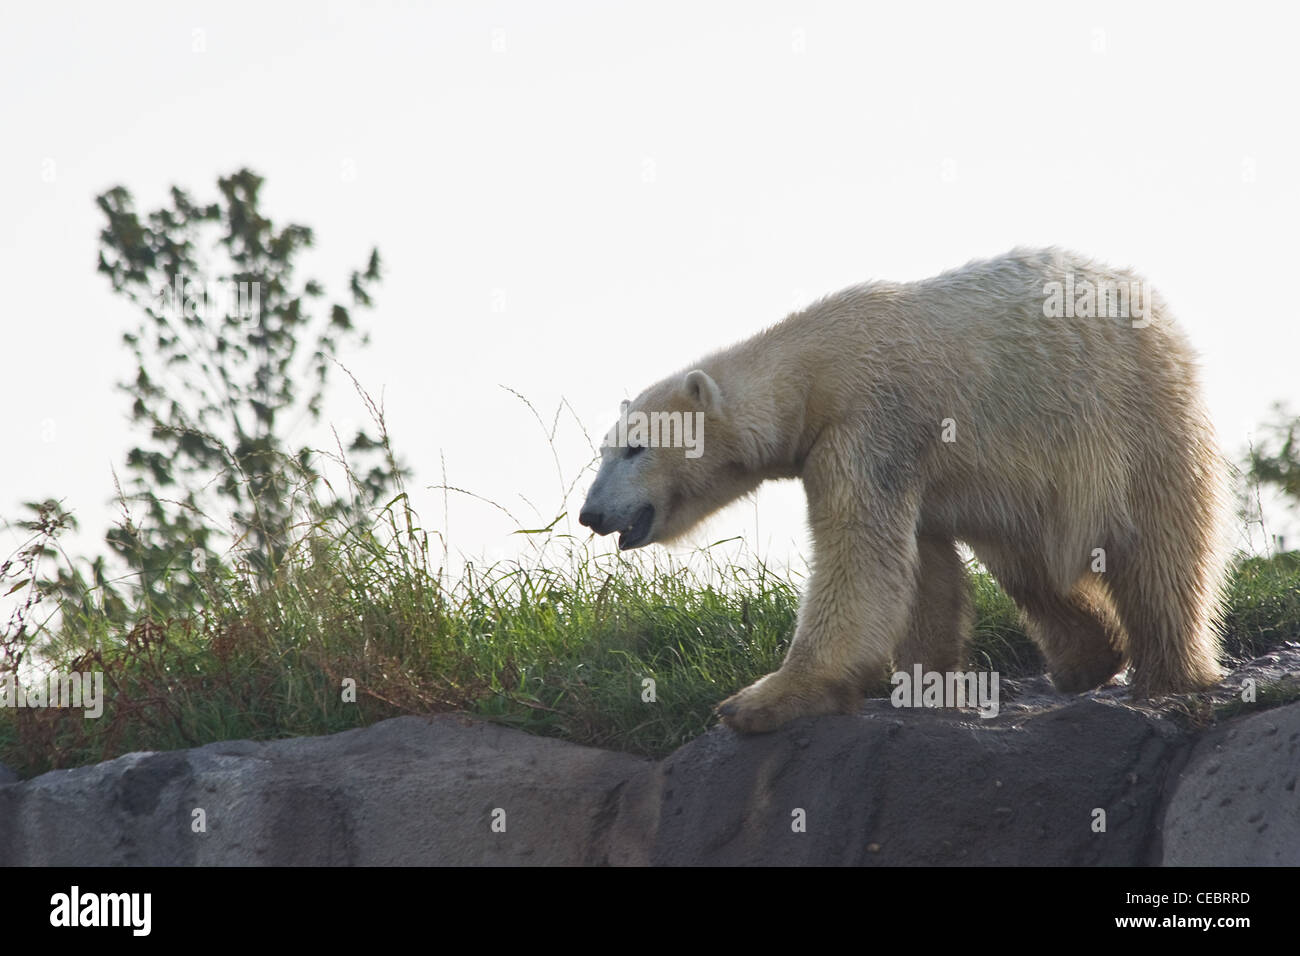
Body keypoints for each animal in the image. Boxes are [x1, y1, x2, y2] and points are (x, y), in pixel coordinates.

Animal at [577, 247, 1227, 733]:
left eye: (636, 446)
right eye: (606, 448)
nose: (590, 513)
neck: (816, 370)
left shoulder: (867, 423)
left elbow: (858, 558)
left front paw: (759, 700)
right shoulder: (900, 455)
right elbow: (922, 567)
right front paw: (926, 687)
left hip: (1132, 412)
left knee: (1160, 547)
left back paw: (1168, 674)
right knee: (1028, 562)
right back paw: (1085, 659)